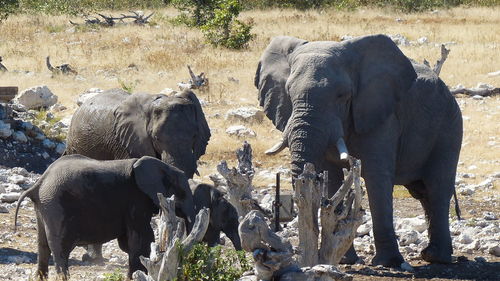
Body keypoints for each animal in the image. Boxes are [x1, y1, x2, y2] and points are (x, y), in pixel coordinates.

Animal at [12, 154, 196, 278]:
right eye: (183, 193)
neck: (164, 167)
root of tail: (39, 183)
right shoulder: (136, 198)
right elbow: (142, 236)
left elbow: (128, 241)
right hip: (56, 205)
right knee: (60, 249)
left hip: (43, 206)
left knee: (42, 245)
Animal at [256, 34, 462, 266]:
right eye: (289, 92)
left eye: (342, 95)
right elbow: (333, 178)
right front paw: (344, 261)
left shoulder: (382, 115)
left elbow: (376, 178)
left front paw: (387, 263)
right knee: (422, 192)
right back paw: (430, 255)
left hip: (449, 128)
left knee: (437, 188)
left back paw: (437, 258)